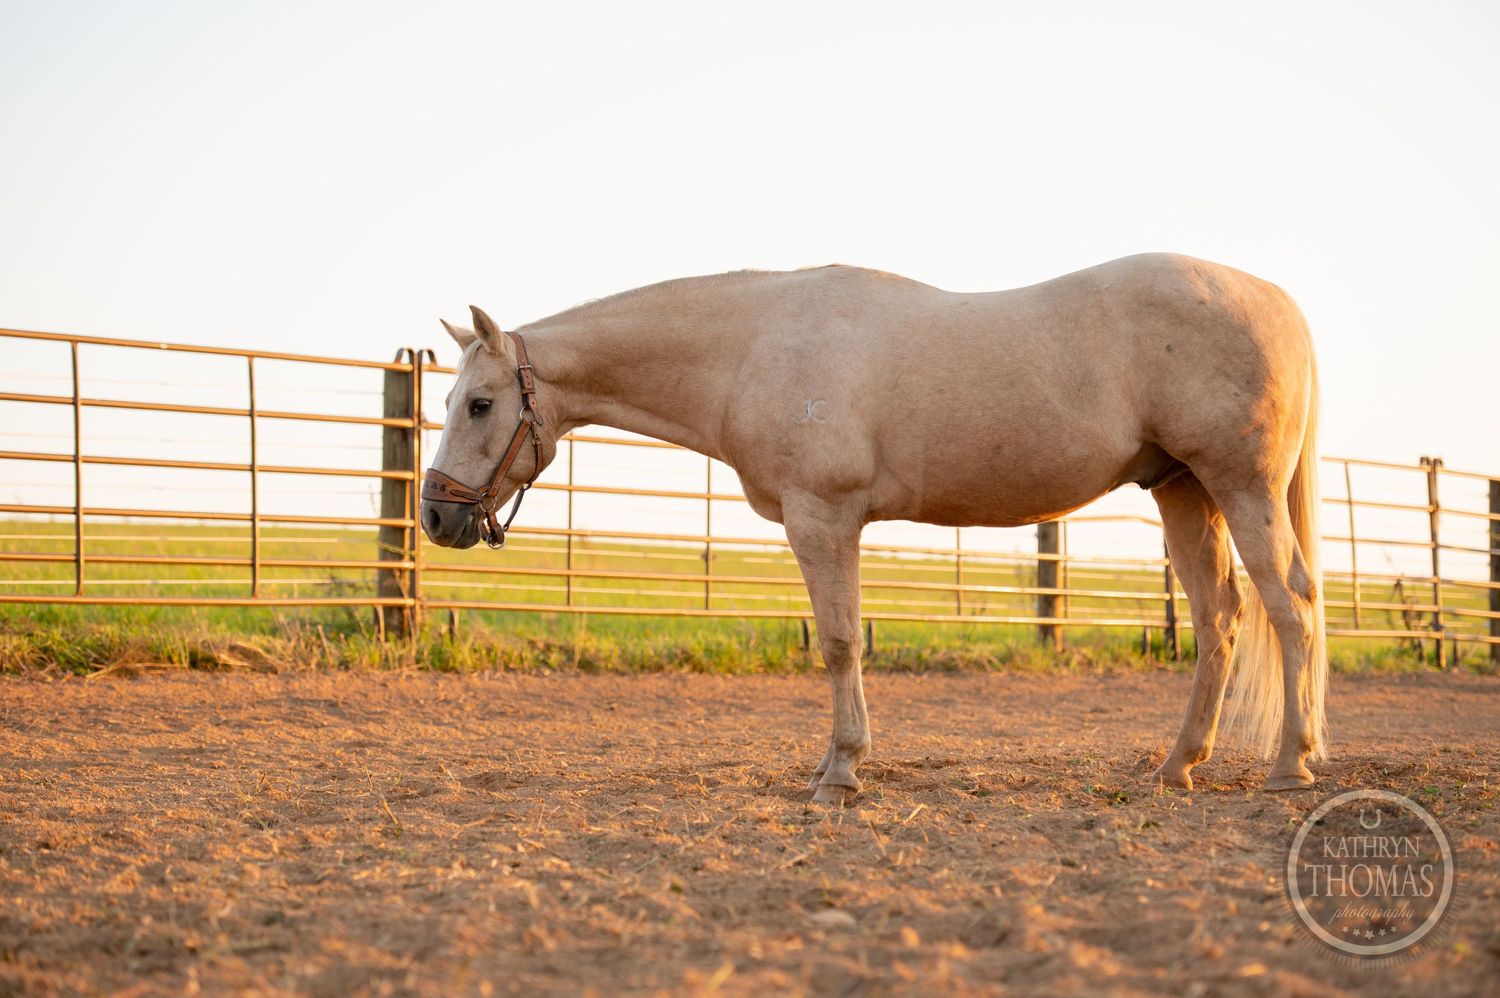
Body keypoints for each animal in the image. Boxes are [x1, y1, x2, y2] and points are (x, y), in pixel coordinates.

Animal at [420, 253, 1327, 802]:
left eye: (480, 403)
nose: (435, 512)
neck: (751, 350)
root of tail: (1275, 301)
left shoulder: (823, 519)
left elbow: (839, 643)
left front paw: (841, 774)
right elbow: (843, 643)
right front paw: (834, 763)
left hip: (1237, 485)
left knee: (1290, 606)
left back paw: (1292, 764)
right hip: (1183, 491)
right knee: (1220, 618)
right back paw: (1178, 766)